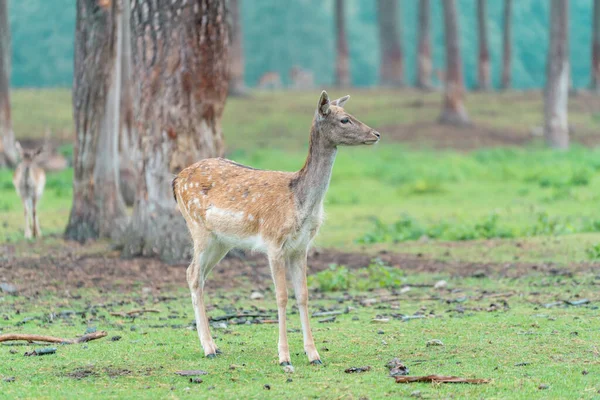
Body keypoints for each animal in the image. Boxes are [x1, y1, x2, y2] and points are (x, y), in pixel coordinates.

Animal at [172, 90, 380, 368]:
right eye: (345, 119)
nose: (376, 134)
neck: (300, 203)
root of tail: (176, 180)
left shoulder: (301, 247)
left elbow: (303, 295)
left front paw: (314, 355)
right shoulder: (273, 243)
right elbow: (281, 296)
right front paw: (284, 356)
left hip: (221, 242)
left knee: (197, 274)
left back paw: (214, 345)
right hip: (199, 229)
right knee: (193, 273)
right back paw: (208, 348)